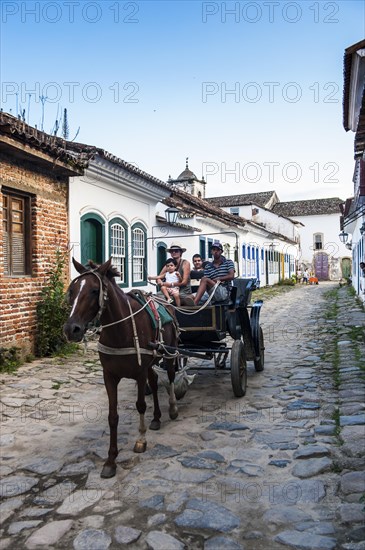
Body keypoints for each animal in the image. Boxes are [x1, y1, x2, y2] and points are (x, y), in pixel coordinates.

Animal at [64, 258, 181, 478]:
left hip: (170, 353)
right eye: (72, 290)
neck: (120, 330)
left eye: (94, 290)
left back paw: (172, 408)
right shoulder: (109, 376)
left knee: (170, 376)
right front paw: (110, 460)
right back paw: (156, 418)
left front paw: (141, 440)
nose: (71, 329)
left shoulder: (139, 373)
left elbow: (140, 405)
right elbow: (112, 416)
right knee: (154, 382)